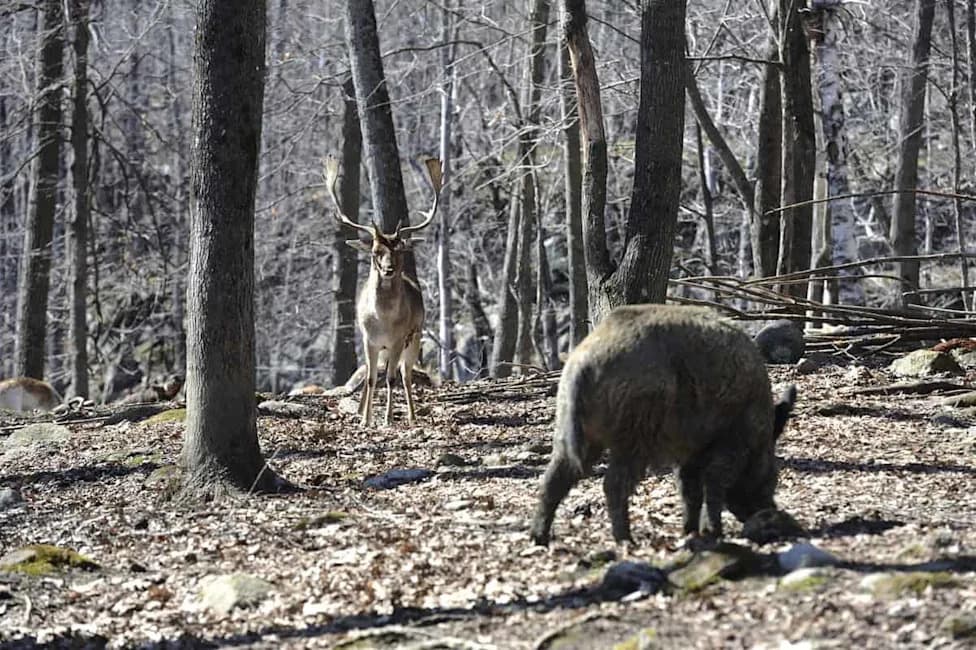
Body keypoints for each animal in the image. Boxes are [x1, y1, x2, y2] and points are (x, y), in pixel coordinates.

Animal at [324, 155, 443, 427]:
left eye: (399, 250)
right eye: (375, 251)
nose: (388, 269)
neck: (384, 321)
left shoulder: (398, 339)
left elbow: (391, 379)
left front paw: (388, 418)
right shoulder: (369, 339)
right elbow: (370, 378)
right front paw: (365, 419)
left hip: (414, 338)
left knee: (405, 375)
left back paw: (411, 416)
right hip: (381, 347)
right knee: (371, 373)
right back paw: (360, 410)